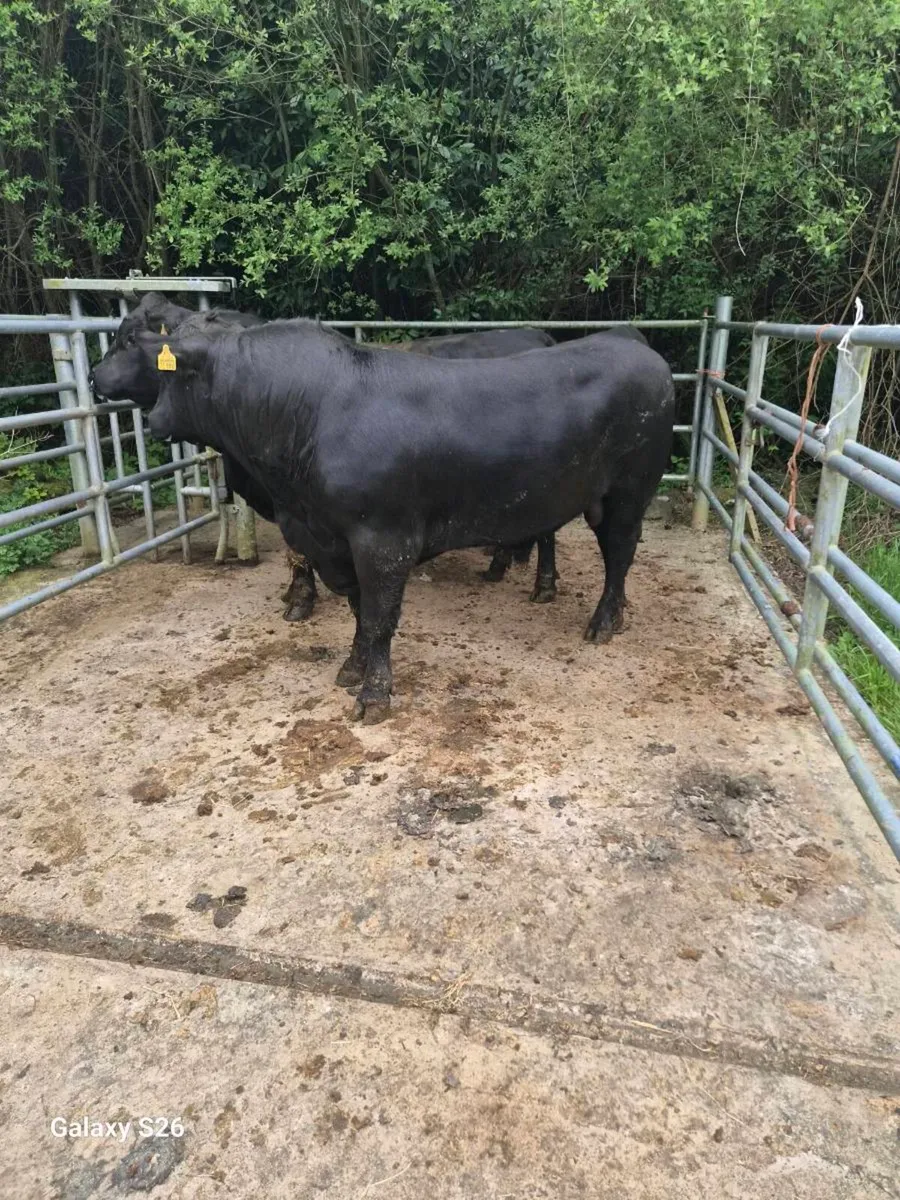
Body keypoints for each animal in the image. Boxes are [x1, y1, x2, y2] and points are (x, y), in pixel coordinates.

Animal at [134, 318, 675, 723]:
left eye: (176, 375)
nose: (153, 421)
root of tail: (631, 343)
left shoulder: (383, 540)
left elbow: (378, 616)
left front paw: (374, 694)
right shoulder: (334, 542)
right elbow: (358, 612)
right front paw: (352, 668)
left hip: (629, 493)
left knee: (619, 555)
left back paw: (604, 621)